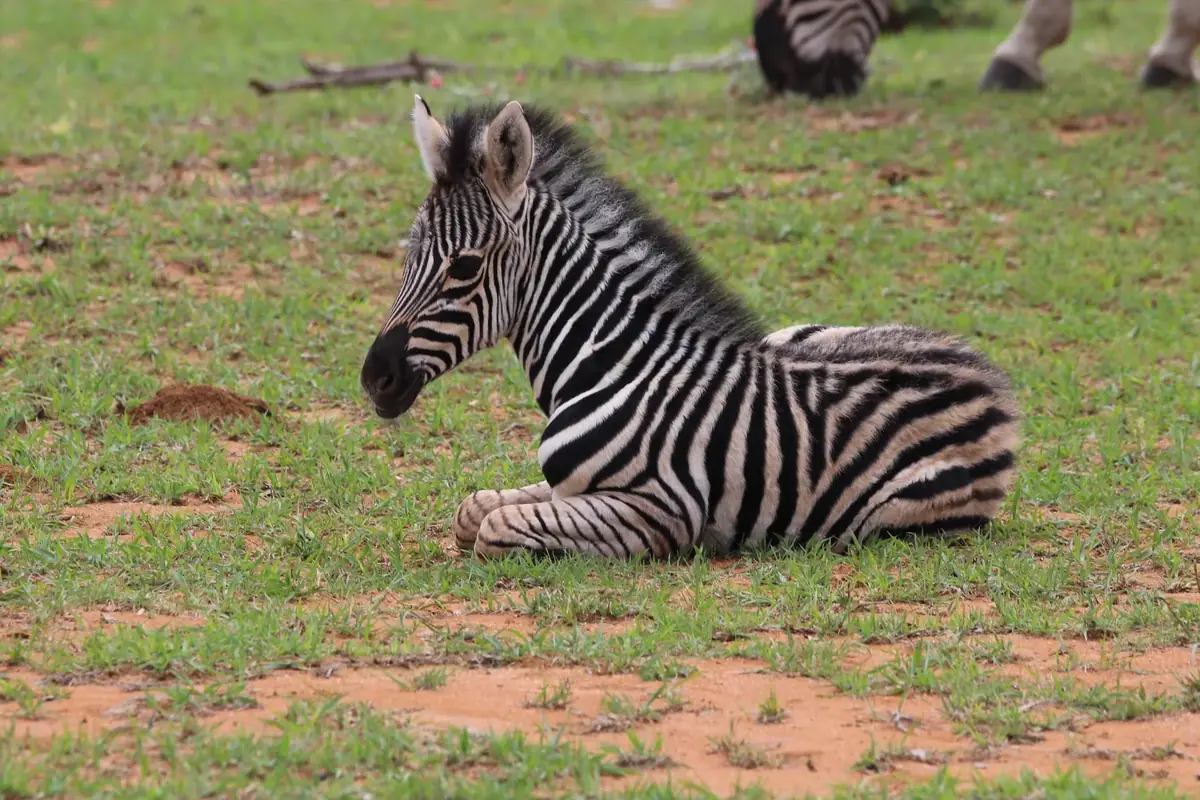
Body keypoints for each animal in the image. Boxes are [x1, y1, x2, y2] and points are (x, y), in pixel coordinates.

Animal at [360, 97, 1020, 559]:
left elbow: (494, 526)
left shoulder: (659, 509)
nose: (374, 378)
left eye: (464, 267)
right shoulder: (573, 488)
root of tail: (985, 371)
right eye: (408, 255)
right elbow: (474, 509)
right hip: (799, 333)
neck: (610, 364)